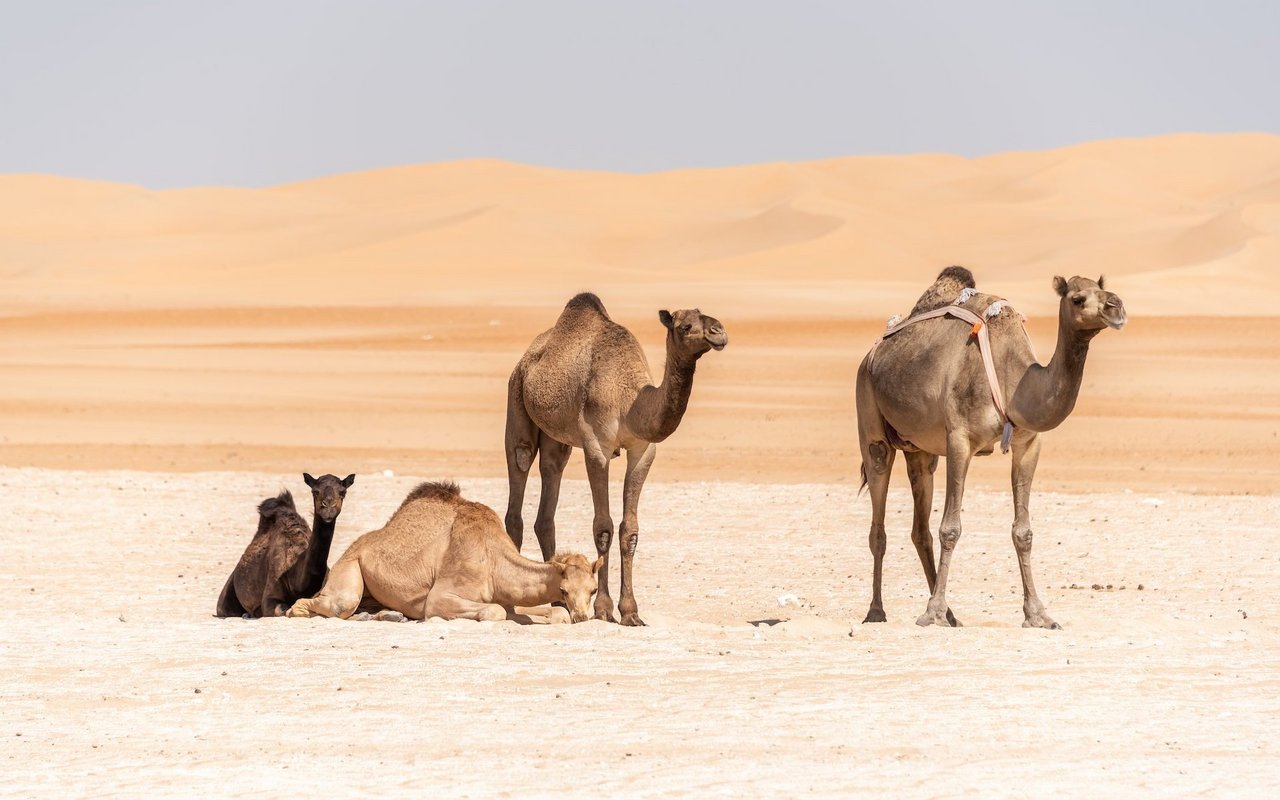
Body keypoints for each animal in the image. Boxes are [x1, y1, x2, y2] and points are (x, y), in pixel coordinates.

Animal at [215, 473, 355, 616]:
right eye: (315, 492)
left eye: (343, 492)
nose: (328, 507)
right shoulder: (270, 596)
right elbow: (280, 609)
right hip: (225, 599)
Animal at [286, 481, 604, 624]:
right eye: (563, 589)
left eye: (593, 589)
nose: (582, 616)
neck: (494, 559)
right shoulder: (441, 597)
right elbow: (495, 610)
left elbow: (552, 613)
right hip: (348, 573)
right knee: (327, 605)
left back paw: (386, 615)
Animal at [501, 291, 727, 624]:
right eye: (685, 326)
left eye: (707, 316)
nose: (719, 331)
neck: (629, 401)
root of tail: (527, 358)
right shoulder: (597, 448)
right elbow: (603, 527)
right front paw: (604, 609)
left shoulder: (643, 450)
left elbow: (629, 530)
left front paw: (631, 612)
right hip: (516, 397)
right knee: (520, 464)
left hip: (557, 437)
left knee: (550, 478)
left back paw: (557, 600)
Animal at [855, 268, 1126, 629]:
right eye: (1078, 298)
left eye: (1104, 290)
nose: (1116, 307)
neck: (1012, 379)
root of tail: (871, 354)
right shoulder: (959, 439)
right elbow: (950, 528)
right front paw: (932, 613)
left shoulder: (1028, 442)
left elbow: (1023, 532)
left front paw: (1038, 614)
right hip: (870, 418)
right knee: (879, 523)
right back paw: (877, 611)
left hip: (919, 449)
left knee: (919, 528)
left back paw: (952, 614)